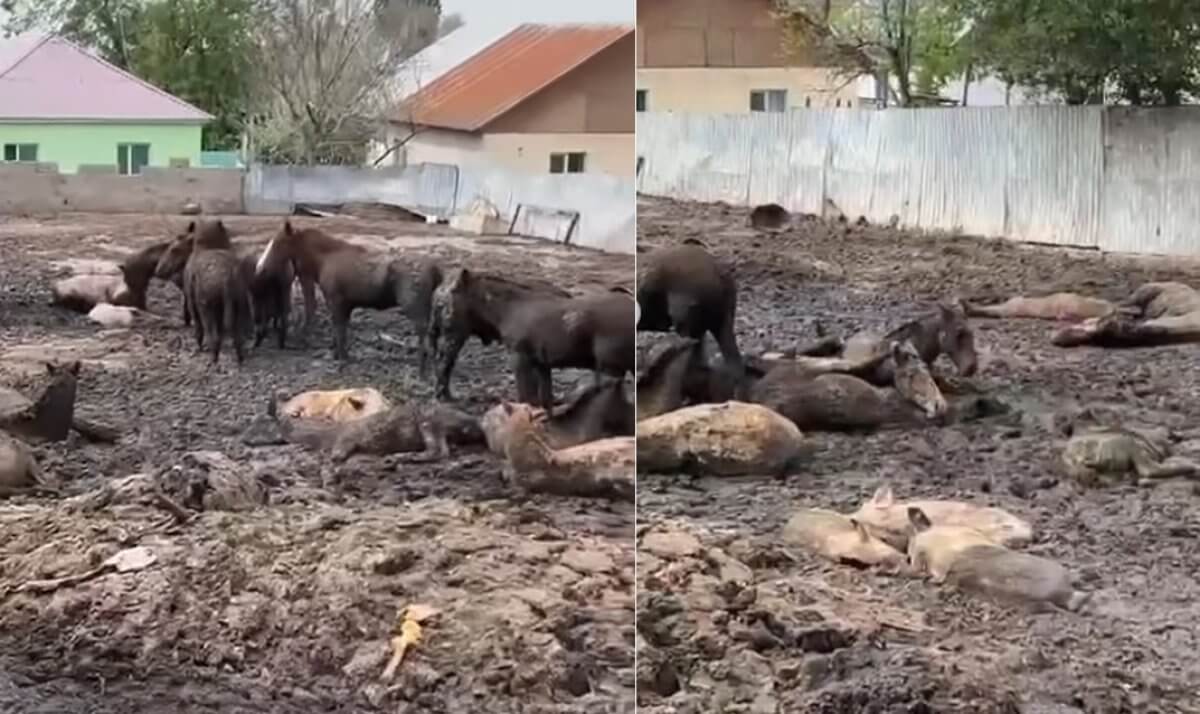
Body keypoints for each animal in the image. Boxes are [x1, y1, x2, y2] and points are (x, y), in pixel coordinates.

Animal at [255, 222, 444, 369]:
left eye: (278, 243)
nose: (260, 268)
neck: (322, 261)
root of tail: (436, 271)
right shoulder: (343, 304)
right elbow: (339, 329)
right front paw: (336, 353)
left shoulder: (336, 300)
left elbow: (340, 330)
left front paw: (342, 357)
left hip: (414, 308)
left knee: (425, 339)